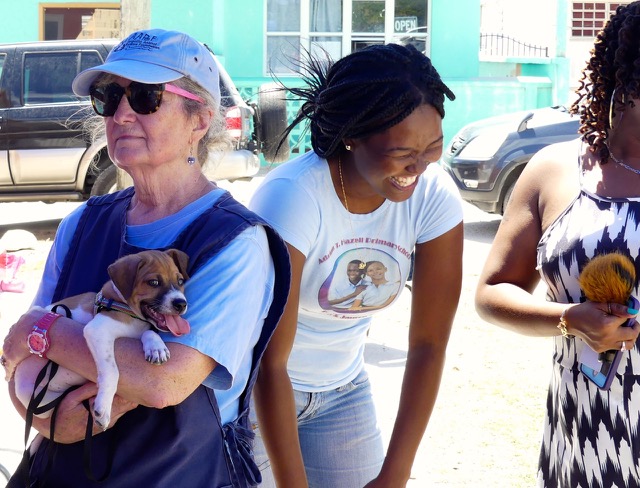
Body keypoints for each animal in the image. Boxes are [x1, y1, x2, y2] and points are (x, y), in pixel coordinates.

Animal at [14, 250, 190, 428]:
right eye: (153, 282)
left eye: (180, 281)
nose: (181, 304)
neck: (128, 312)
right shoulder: (97, 330)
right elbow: (112, 371)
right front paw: (103, 407)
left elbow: (150, 332)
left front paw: (156, 348)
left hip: (43, 403)